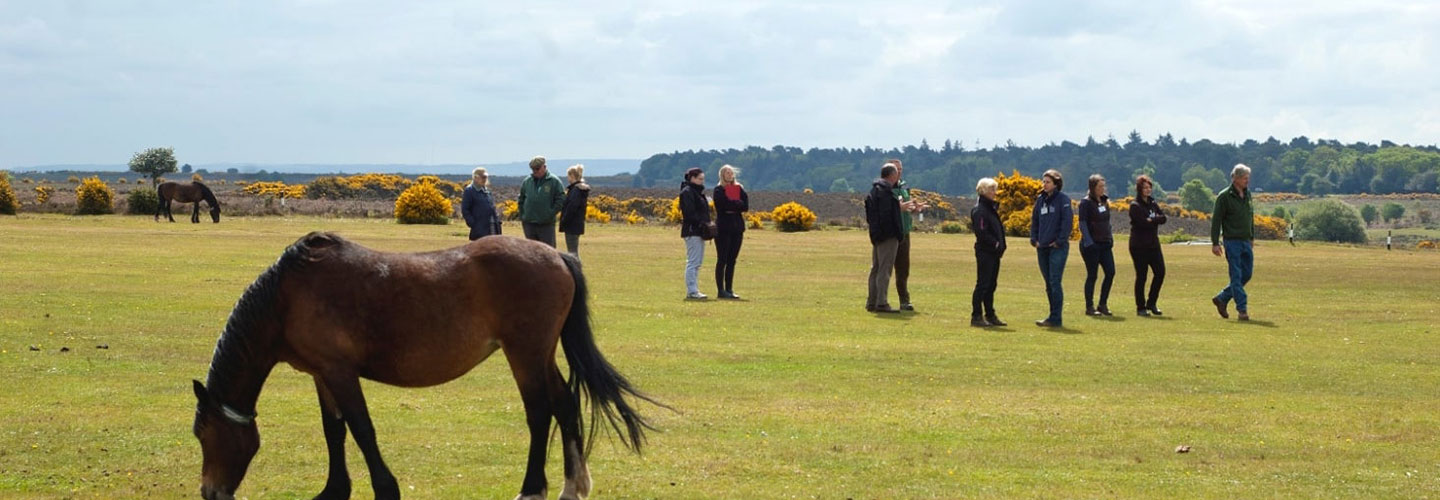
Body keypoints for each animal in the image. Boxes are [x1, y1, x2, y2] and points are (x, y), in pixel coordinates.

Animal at [191, 233, 659, 500]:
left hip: (524, 353)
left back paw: (531, 489)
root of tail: (559, 256)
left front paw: (385, 489)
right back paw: (571, 486)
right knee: (565, 404)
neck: (287, 298)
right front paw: (333, 491)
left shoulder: (340, 372)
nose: (210, 492)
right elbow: (334, 432)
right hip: (540, 354)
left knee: (540, 412)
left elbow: (361, 429)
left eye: (203, 435)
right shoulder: (322, 374)